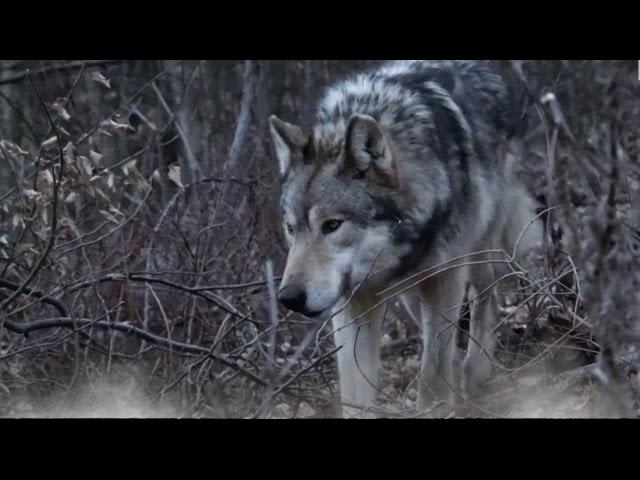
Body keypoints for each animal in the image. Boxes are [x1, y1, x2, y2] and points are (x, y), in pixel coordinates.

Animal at [268, 60, 544, 416]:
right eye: (291, 228)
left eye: (331, 225)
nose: (289, 297)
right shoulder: (354, 304)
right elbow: (356, 397)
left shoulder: (444, 279)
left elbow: (431, 375)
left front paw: (437, 406)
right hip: (412, 297)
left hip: (480, 255)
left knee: (486, 301)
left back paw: (476, 375)